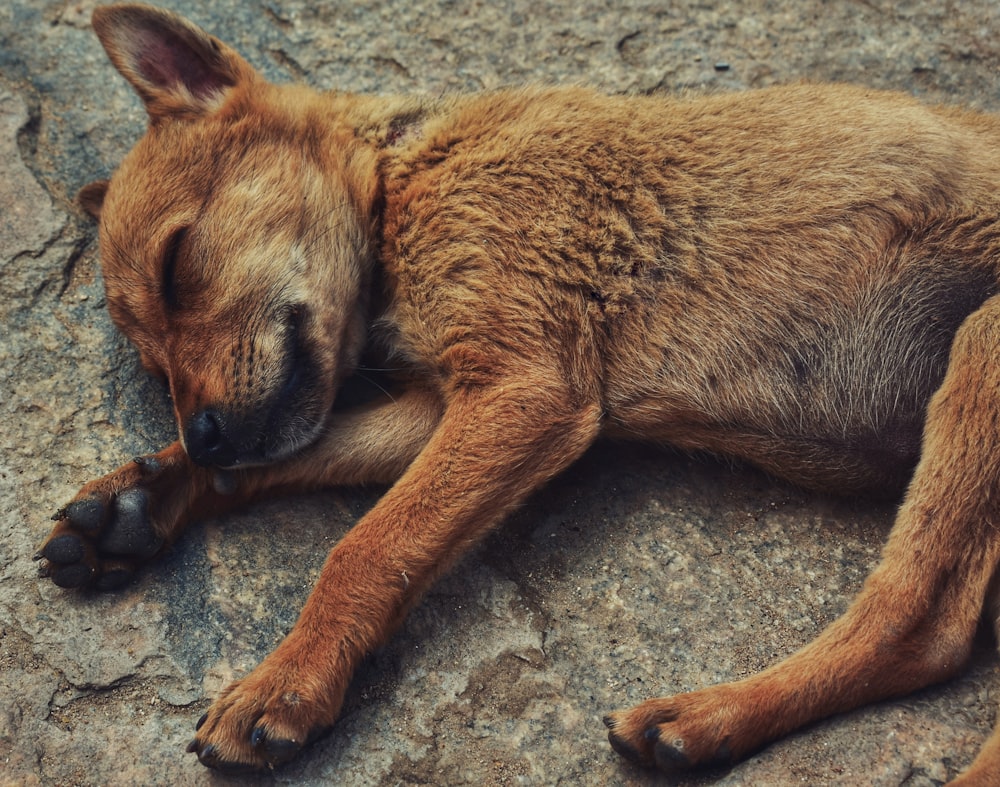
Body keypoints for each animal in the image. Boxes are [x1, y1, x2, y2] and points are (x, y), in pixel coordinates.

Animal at [37, 4, 1000, 780]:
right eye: (150, 358)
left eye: (176, 264)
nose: (203, 433)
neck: (405, 174)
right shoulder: (439, 407)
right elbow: (303, 466)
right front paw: (137, 497)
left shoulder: (524, 390)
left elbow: (365, 546)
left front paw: (284, 682)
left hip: (979, 353)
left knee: (920, 623)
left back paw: (703, 715)